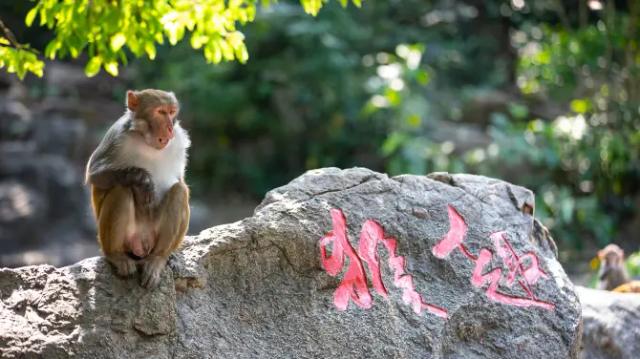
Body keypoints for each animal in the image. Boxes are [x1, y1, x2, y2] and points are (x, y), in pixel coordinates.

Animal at [87, 90, 190, 290]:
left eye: (171, 112)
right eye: (160, 112)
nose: (169, 128)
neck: (146, 140)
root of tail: (142, 244)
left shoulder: (179, 139)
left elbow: (181, 181)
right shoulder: (117, 135)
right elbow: (94, 175)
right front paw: (141, 179)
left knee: (179, 191)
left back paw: (158, 259)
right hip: (121, 238)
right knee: (121, 189)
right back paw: (116, 256)